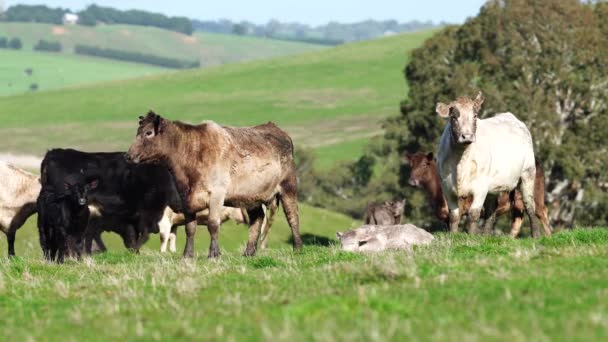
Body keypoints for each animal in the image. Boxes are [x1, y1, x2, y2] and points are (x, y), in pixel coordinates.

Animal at [404, 151, 552, 236]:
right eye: (411, 165)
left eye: (424, 164)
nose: (411, 181)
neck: (438, 198)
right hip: (517, 202)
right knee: (517, 221)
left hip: (535, 193)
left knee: (542, 212)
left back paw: (548, 236)